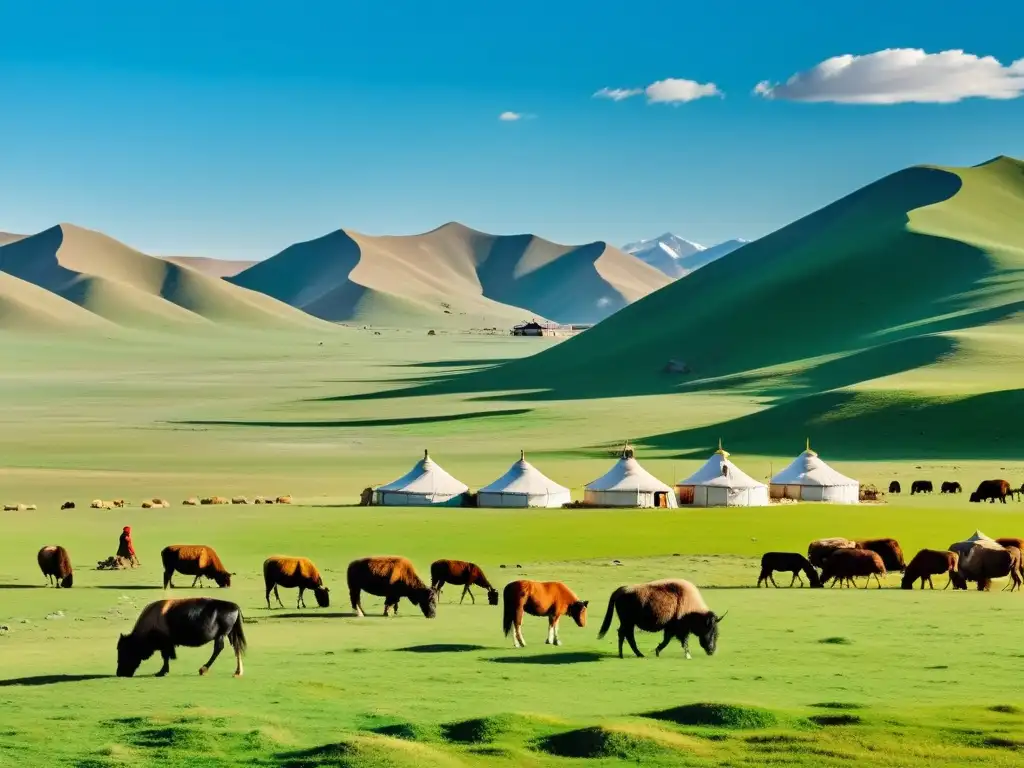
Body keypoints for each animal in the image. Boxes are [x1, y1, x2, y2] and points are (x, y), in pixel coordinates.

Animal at [117, 598, 246, 675]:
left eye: (125, 650)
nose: (120, 673)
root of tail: (234, 606)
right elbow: (166, 657)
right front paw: (162, 671)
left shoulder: (166, 644)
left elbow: (165, 657)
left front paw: (161, 672)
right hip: (229, 634)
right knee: (236, 648)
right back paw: (237, 672)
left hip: (221, 635)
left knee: (218, 649)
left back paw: (203, 669)